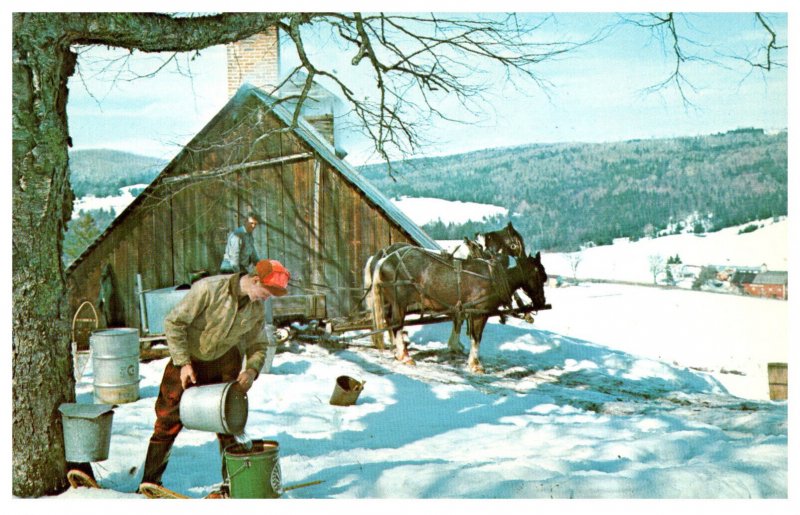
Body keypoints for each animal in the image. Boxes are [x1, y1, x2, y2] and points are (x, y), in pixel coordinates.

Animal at [366, 244, 548, 372]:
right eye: (540, 275)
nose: (541, 300)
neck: (493, 276)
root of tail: (384, 260)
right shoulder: (478, 313)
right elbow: (476, 338)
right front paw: (475, 365)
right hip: (399, 302)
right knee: (397, 324)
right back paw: (404, 356)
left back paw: (398, 353)